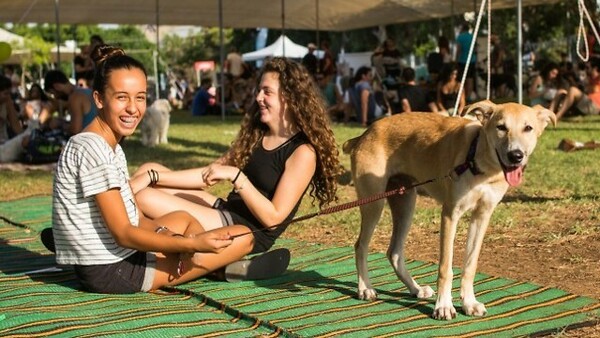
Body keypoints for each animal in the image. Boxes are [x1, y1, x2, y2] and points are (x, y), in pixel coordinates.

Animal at [344, 99, 556, 320]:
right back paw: (365, 288)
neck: (479, 163)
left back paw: (416, 289)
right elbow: (446, 267)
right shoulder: (450, 214)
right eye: (501, 127)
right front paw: (444, 306)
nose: (516, 156)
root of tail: (365, 133)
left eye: (528, 128)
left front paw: (469, 303)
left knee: (394, 252)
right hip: (373, 203)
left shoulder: (482, 216)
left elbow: (470, 265)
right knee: (361, 246)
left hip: (406, 203)